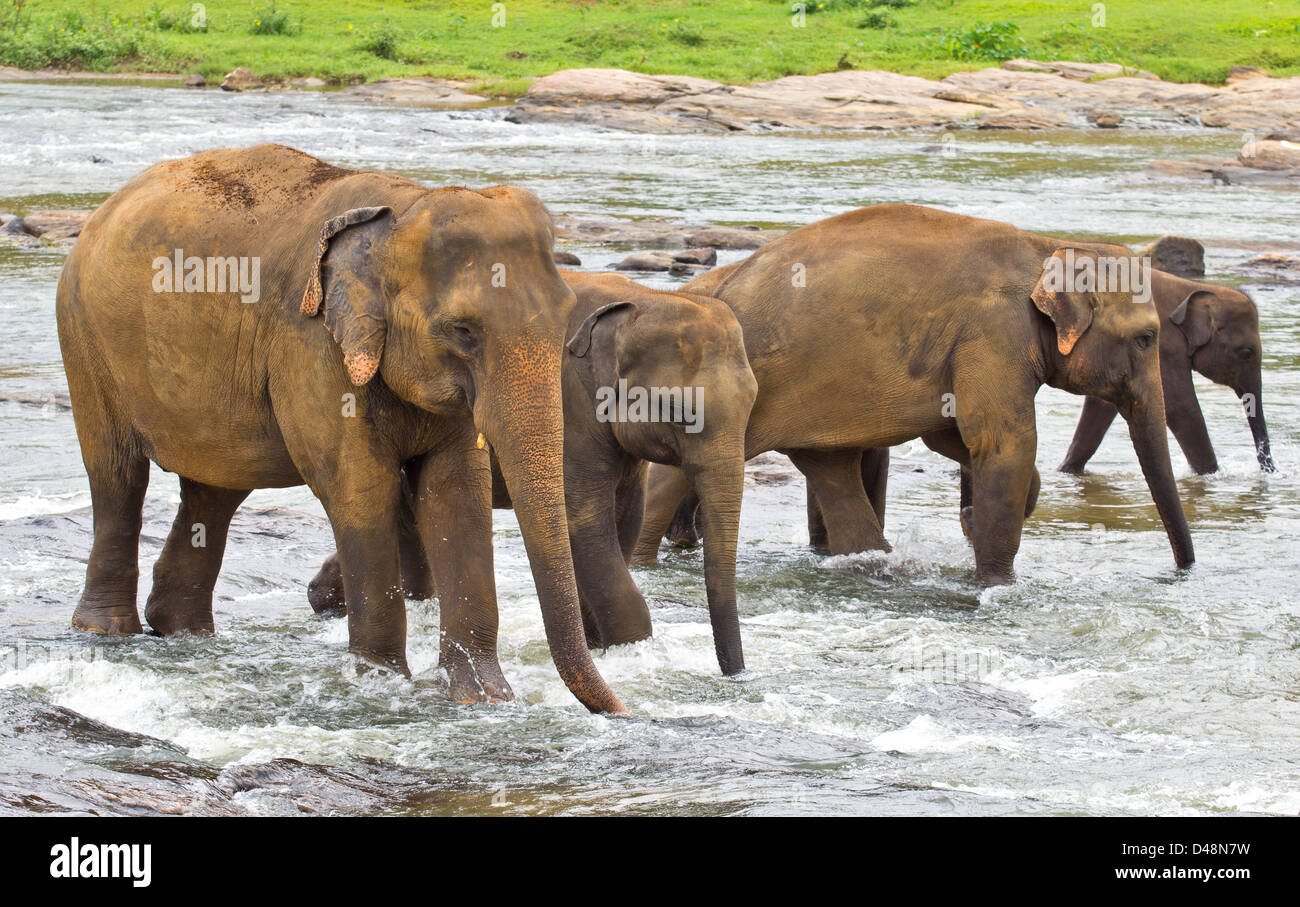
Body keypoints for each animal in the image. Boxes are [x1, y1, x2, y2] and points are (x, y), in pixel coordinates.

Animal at [58, 139, 626, 712]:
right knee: (117, 476)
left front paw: (482, 700)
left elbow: (457, 490)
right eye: (462, 331)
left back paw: (183, 632)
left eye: (564, 317)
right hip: (83, 339)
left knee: (214, 490)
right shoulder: (310, 342)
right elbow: (362, 489)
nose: (620, 710)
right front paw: (382, 687)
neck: (405, 207)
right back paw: (107, 630)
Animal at [305, 271, 759, 675]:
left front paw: (598, 642)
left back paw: (325, 596)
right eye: (681, 412)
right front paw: (628, 651)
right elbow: (585, 525)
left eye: (753, 403)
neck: (643, 298)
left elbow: (626, 517)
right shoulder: (569, 409)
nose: (735, 674)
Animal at [634, 202, 1190, 582]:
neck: (1047, 246)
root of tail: (726, 290)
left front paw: (976, 519)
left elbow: (953, 434)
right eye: (1146, 338)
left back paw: (871, 562)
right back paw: (643, 565)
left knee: (830, 467)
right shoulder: (993, 333)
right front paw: (996, 581)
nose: (1182, 571)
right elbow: (1002, 442)